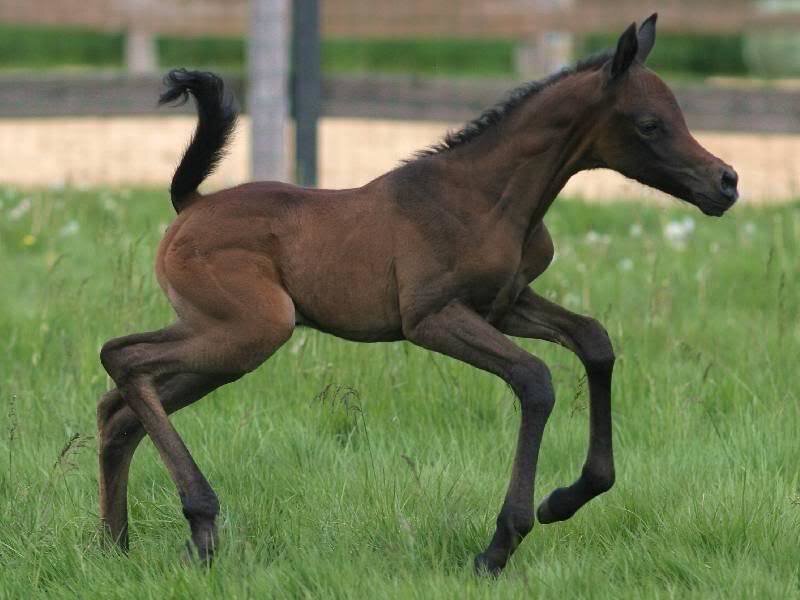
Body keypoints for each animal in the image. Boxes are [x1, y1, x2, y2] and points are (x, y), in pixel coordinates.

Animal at [97, 14, 738, 575]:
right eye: (650, 124)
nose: (727, 182)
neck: (488, 198)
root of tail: (190, 205)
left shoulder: (505, 304)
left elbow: (595, 341)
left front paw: (570, 496)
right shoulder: (431, 318)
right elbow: (535, 380)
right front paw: (499, 546)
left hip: (222, 344)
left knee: (118, 409)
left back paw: (114, 545)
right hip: (248, 332)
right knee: (121, 357)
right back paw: (200, 526)